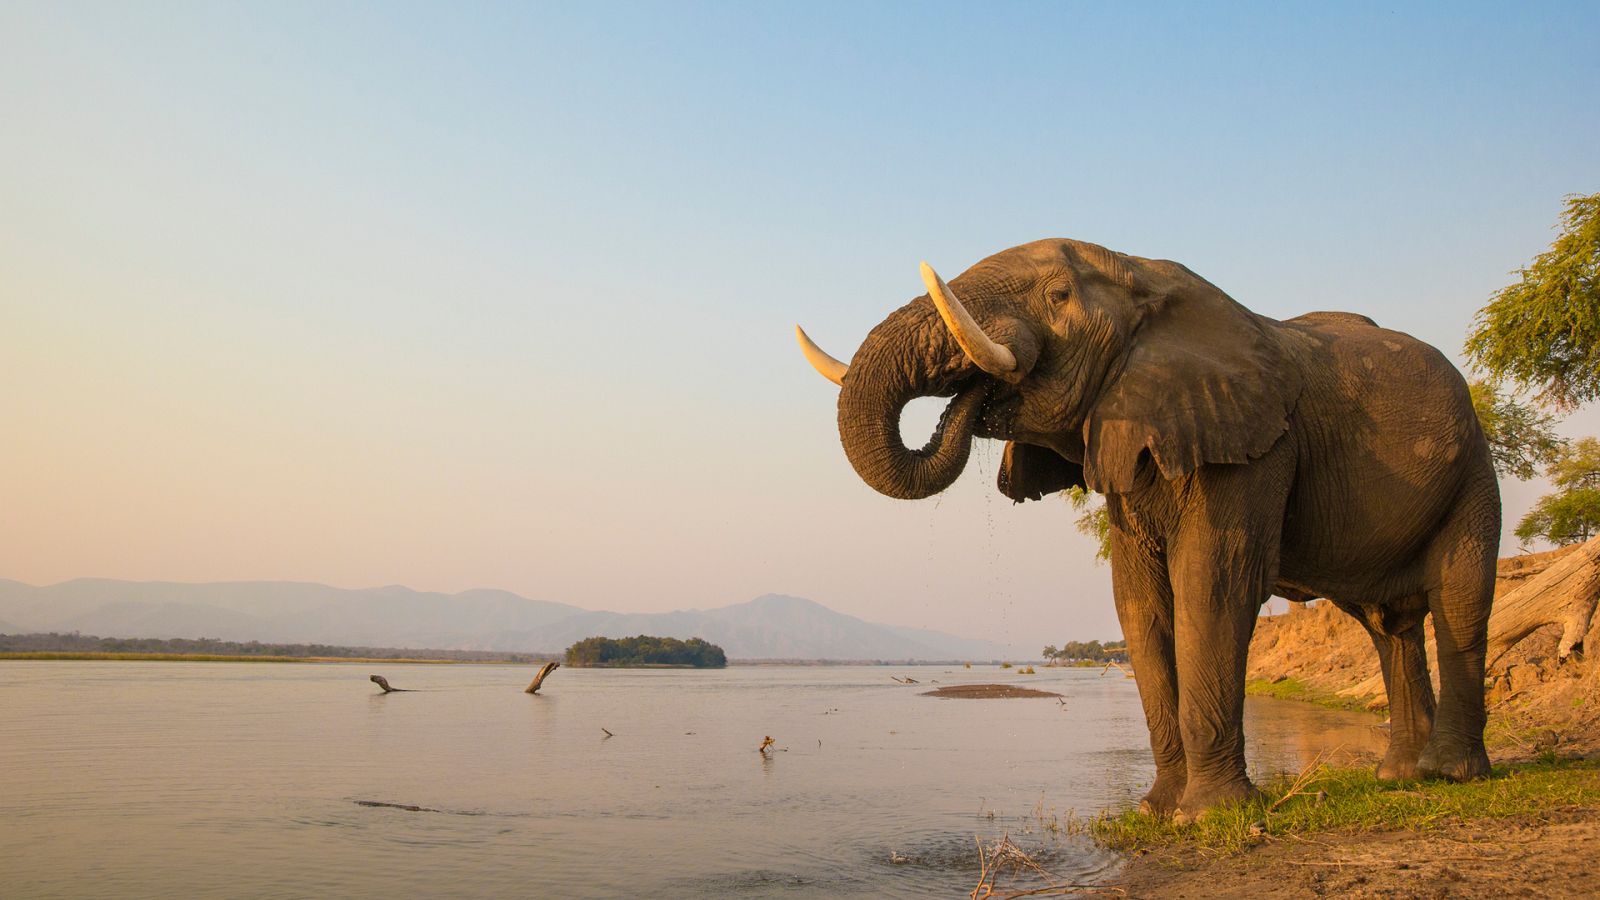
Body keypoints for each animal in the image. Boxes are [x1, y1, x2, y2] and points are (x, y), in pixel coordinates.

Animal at [800, 238, 1497, 819]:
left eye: (1058, 296)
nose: (974, 396)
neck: (1144, 278)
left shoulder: (1253, 446)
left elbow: (1212, 587)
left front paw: (1209, 816)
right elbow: (1139, 603)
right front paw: (1157, 811)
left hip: (1473, 469)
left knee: (1458, 601)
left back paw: (1451, 774)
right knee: (1388, 624)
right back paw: (1398, 778)